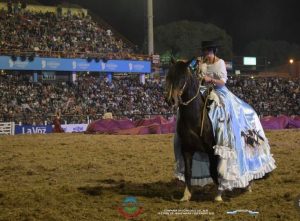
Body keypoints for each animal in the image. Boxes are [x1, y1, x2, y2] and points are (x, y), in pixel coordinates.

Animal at [165, 58, 221, 202]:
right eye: (168, 76)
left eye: (182, 78)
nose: (170, 99)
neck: (194, 117)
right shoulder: (187, 149)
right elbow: (188, 172)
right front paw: (186, 195)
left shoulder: (212, 150)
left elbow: (214, 171)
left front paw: (219, 194)